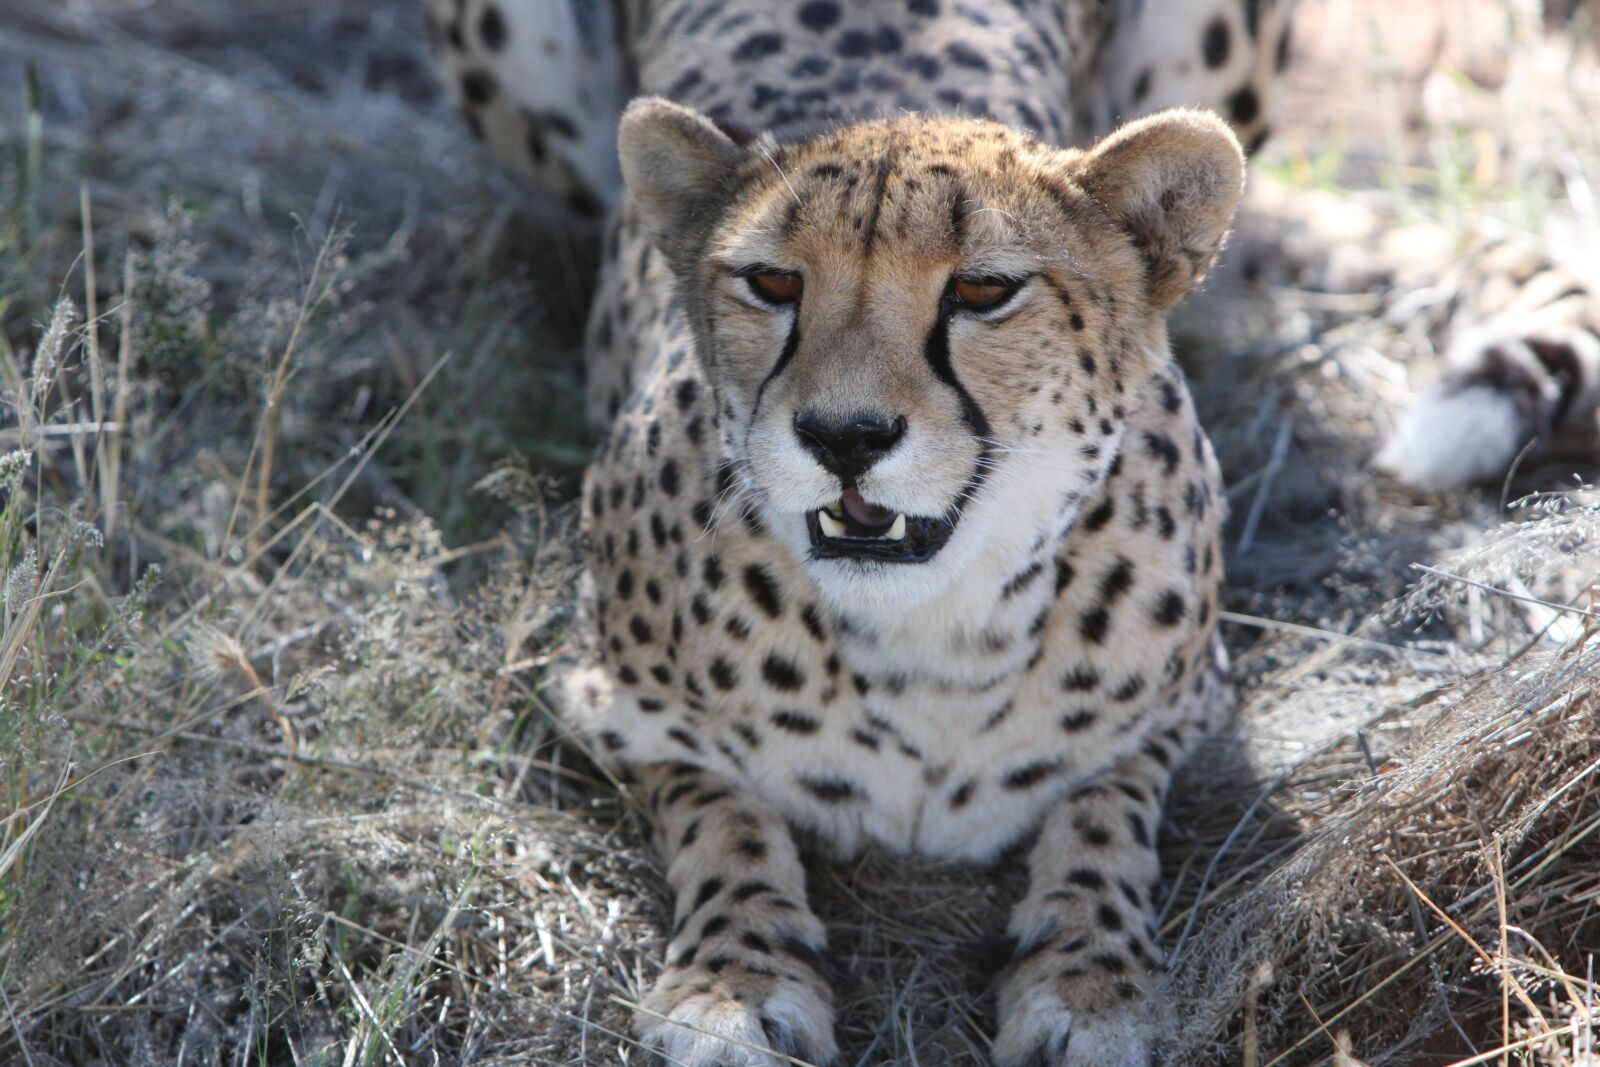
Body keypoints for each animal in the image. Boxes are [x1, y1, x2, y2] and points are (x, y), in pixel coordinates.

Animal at [421, 1, 1600, 1064]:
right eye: (771, 281)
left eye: (983, 290)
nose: (844, 434)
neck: (928, 629)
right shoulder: (607, 700)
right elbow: (724, 811)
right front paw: (733, 979)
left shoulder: (1180, 708)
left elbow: (1100, 818)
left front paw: (1089, 977)